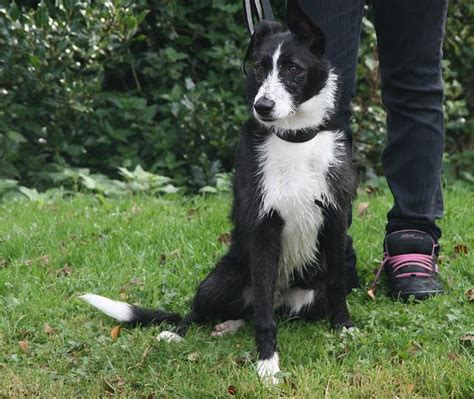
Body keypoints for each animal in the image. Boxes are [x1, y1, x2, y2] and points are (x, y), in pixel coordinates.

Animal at [80, 0, 356, 384]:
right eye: (259, 67)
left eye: (294, 69)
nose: (262, 107)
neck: (294, 138)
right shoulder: (264, 228)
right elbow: (264, 316)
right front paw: (268, 362)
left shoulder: (334, 219)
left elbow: (338, 283)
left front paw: (343, 327)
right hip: (224, 278)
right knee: (210, 310)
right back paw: (179, 332)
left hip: (311, 289)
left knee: (259, 310)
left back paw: (230, 326)